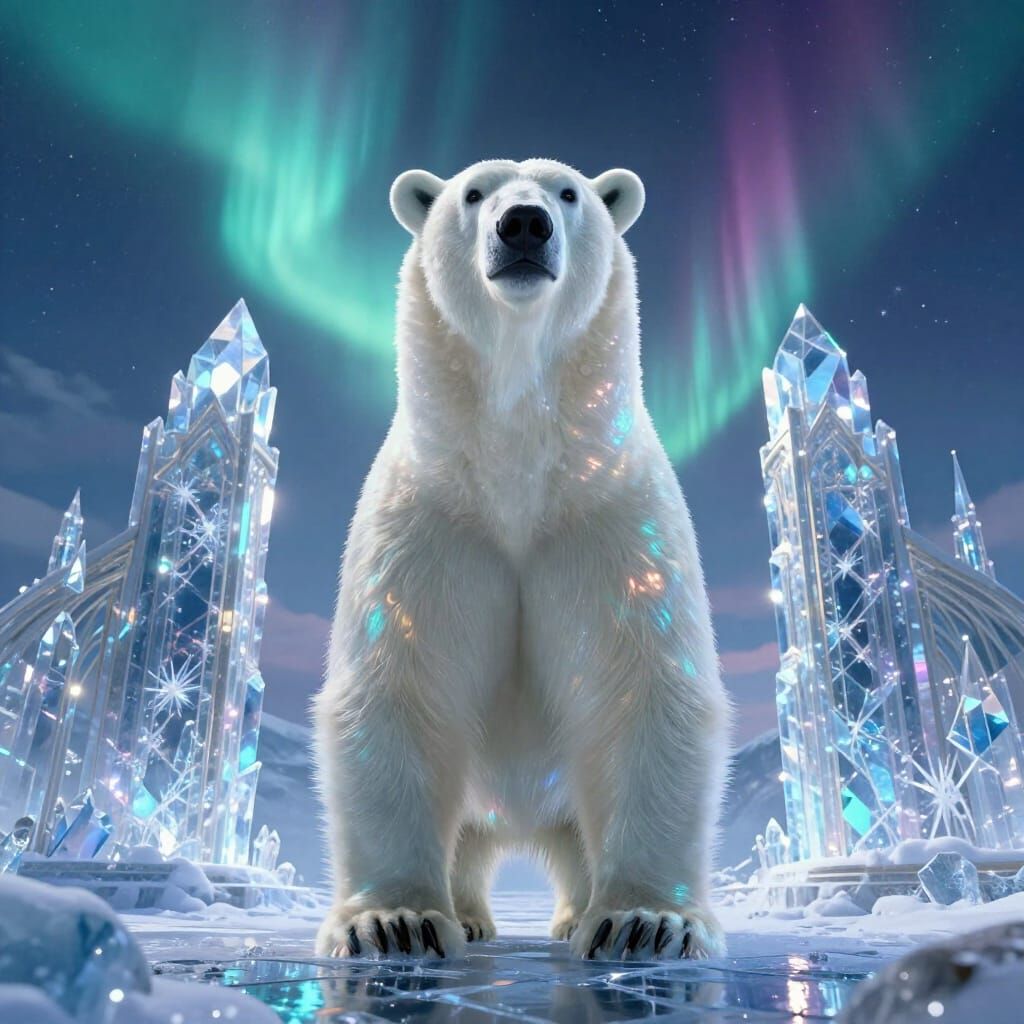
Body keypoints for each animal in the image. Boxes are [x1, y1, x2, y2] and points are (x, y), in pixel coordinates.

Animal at [313, 158, 730, 963]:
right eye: (473, 193)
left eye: (568, 192)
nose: (524, 225)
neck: (515, 475)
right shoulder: (429, 527)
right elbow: (398, 689)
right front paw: (394, 921)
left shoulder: (609, 519)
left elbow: (645, 689)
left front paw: (646, 922)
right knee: (469, 838)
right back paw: (470, 914)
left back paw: (572, 914)